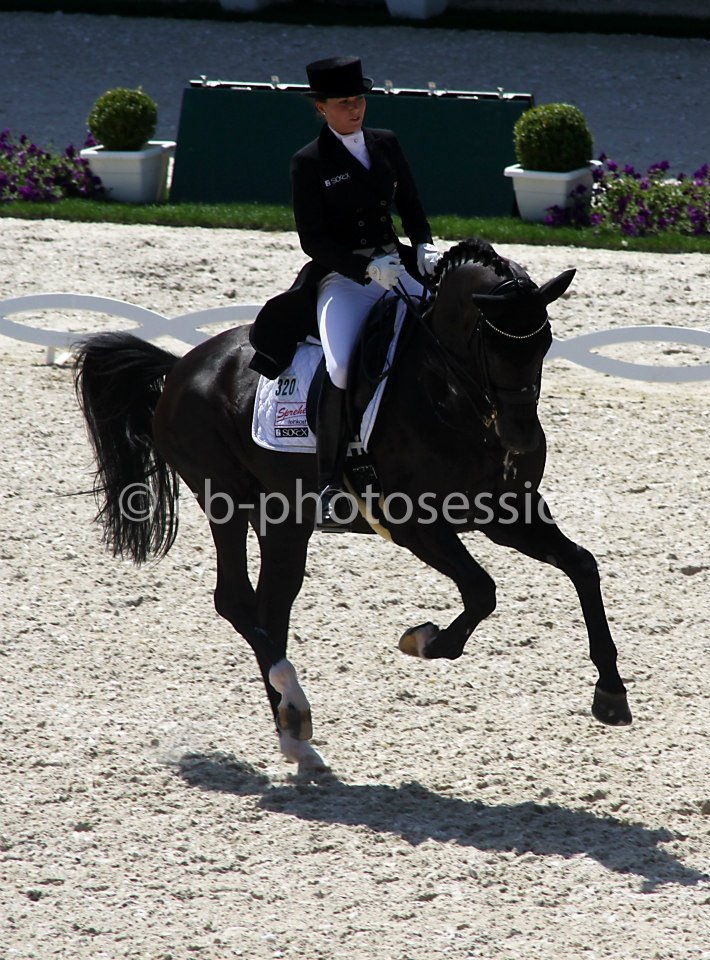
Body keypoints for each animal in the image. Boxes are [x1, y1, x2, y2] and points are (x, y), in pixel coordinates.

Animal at [73, 240, 636, 772]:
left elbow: (582, 566)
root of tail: (180, 368)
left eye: (545, 340)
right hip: (225, 499)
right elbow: (482, 591)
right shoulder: (415, 524)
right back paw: (294, 706)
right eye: (488, 343)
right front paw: (424, 641)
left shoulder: (506, 512)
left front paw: (610, 692)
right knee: (236, 600)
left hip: (282, 518)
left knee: (271, 605)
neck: (449, 395)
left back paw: (295, 736)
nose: (520, 442)